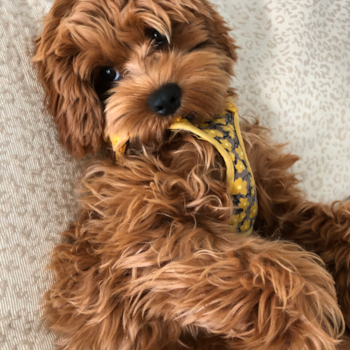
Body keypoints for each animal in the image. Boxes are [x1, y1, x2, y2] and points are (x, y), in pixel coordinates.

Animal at [32, 0, 350, 350]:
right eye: (105, 74)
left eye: (157, 36)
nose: (164, 97)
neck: (189, 133)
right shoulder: (150, 234)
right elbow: (258, 270)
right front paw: (305, 318)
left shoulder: (276, 204)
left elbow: (323, 225)